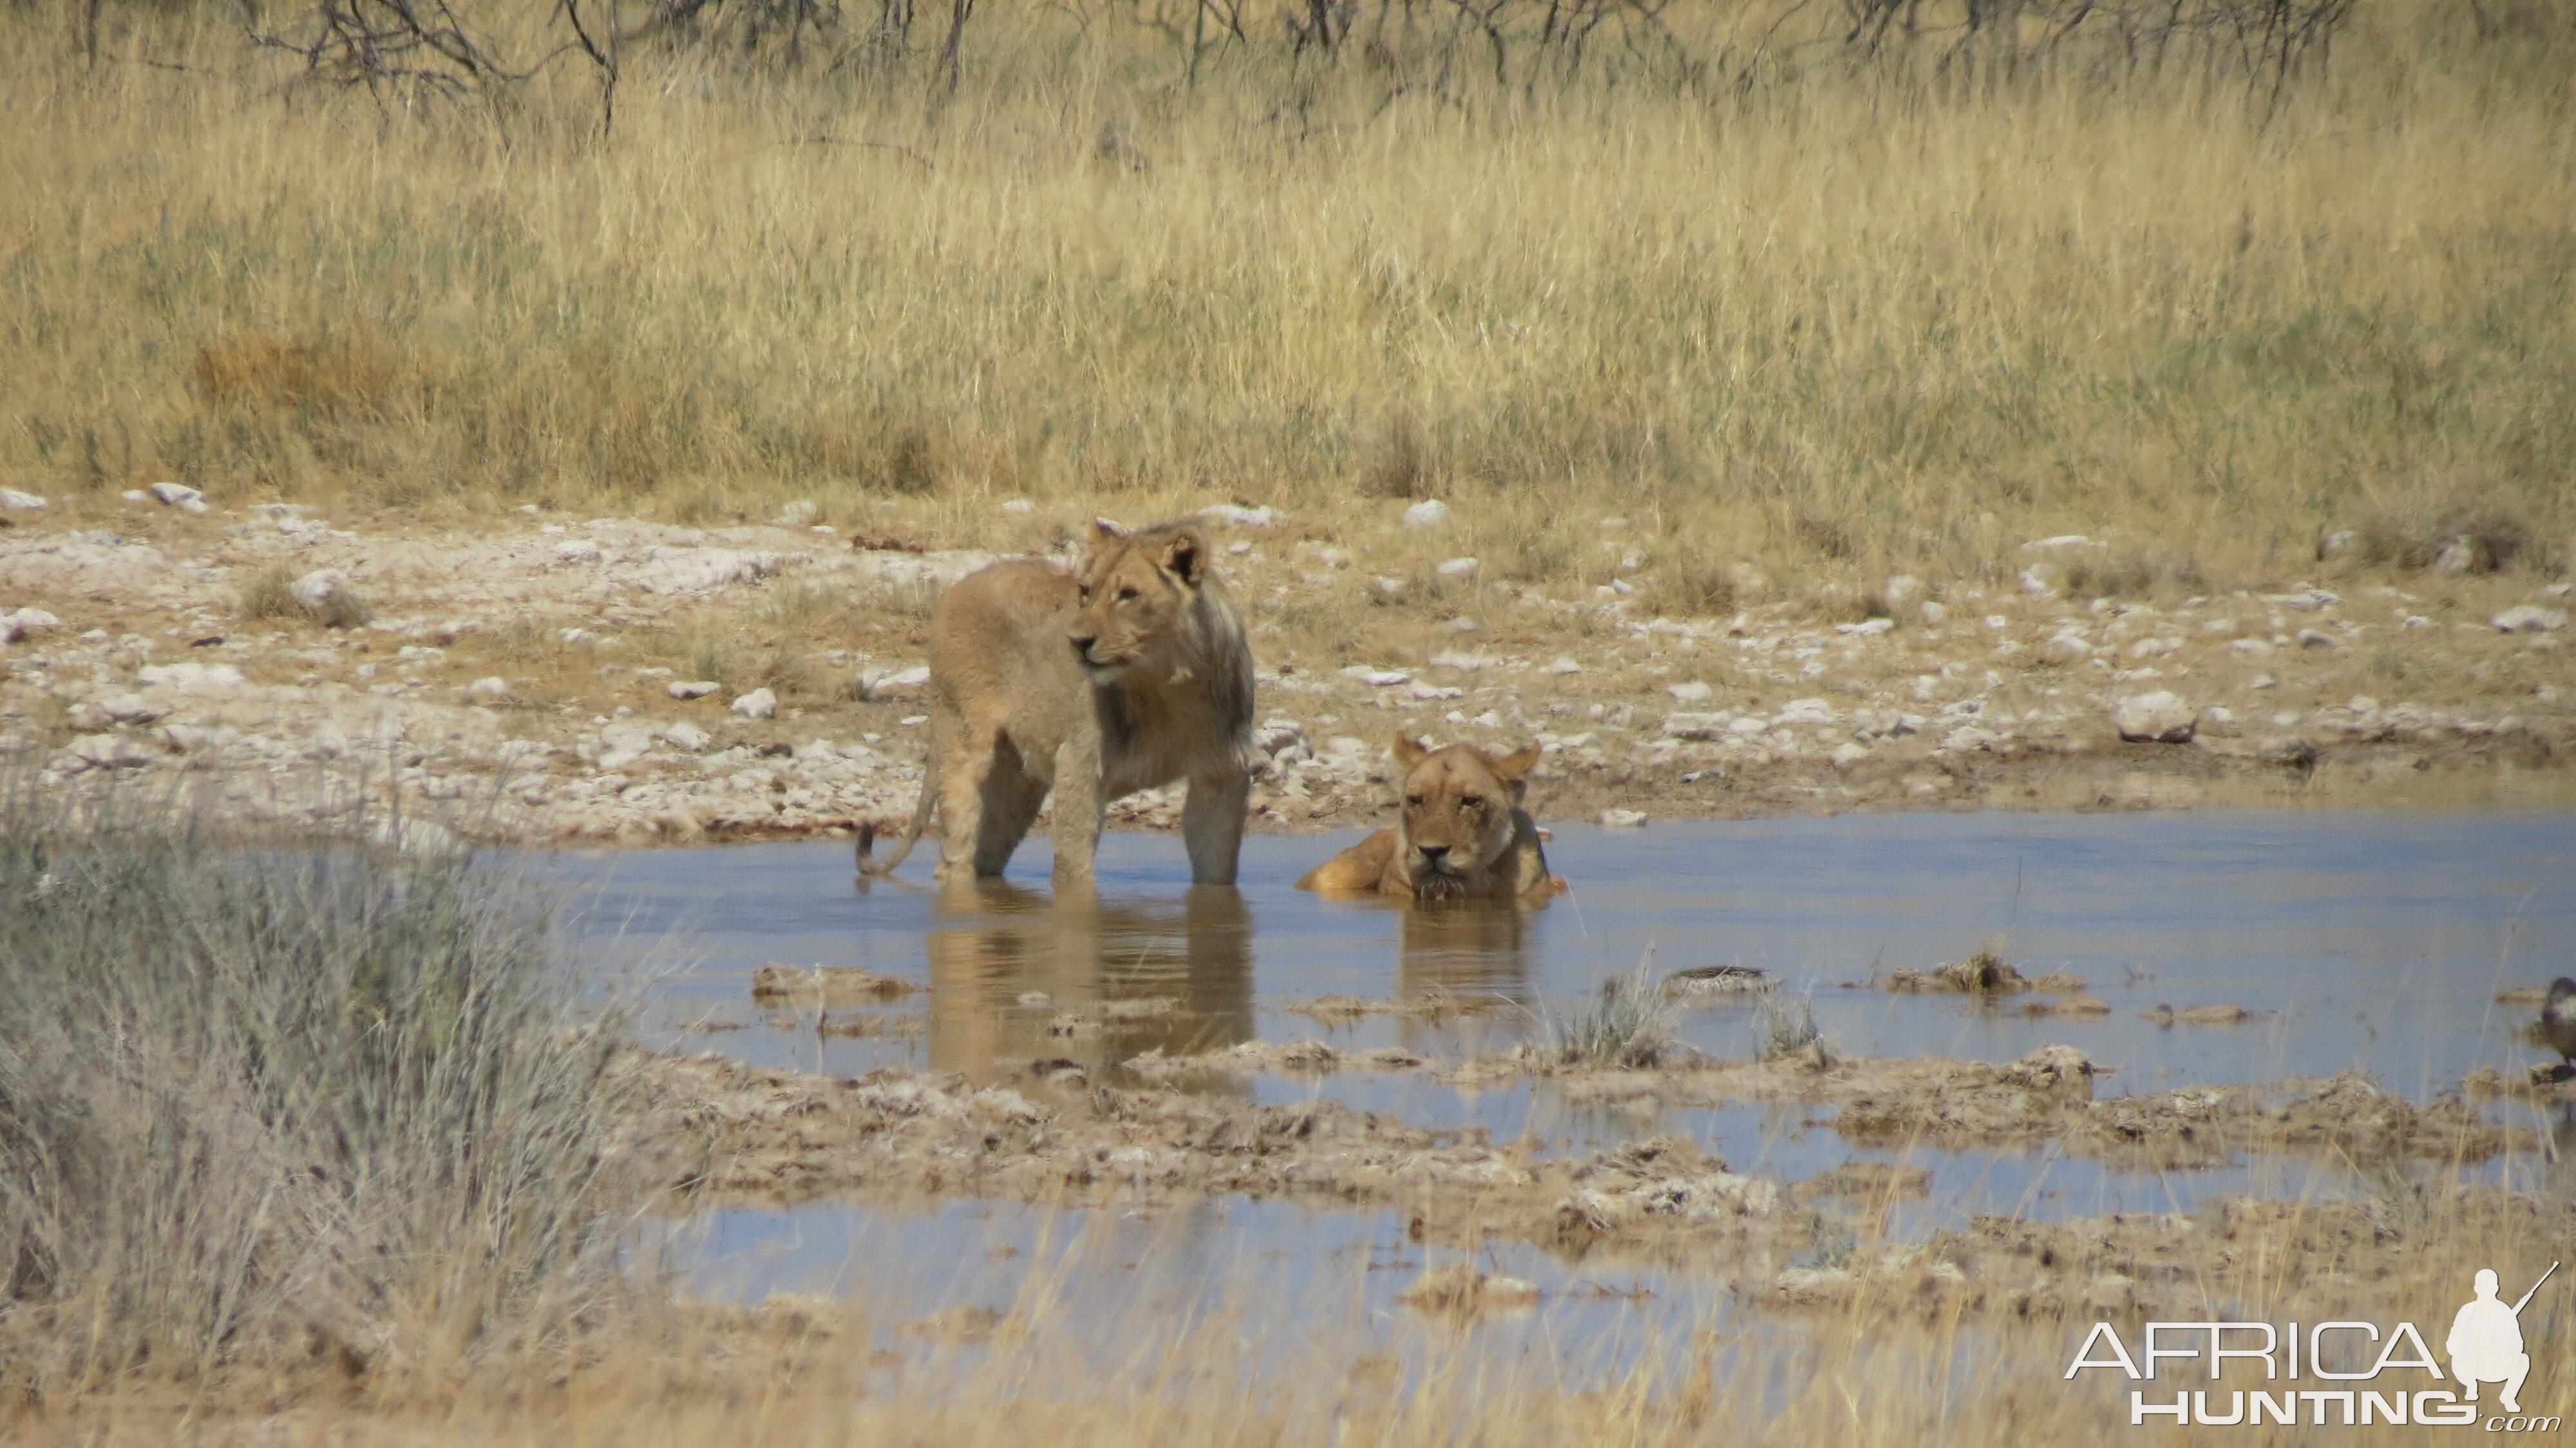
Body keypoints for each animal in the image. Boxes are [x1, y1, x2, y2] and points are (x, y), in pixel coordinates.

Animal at [855, 513, 1257, 886]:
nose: (1076, 642)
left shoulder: (1222, 774)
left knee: (989, 848)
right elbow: (1074, 871)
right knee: (955, 849)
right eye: (1086, 591)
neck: (1169, 688)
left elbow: (1217, 870)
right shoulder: (1079, 763)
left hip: (1018, 780)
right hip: (962, 735)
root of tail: (962, 583)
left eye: (1128, 594)